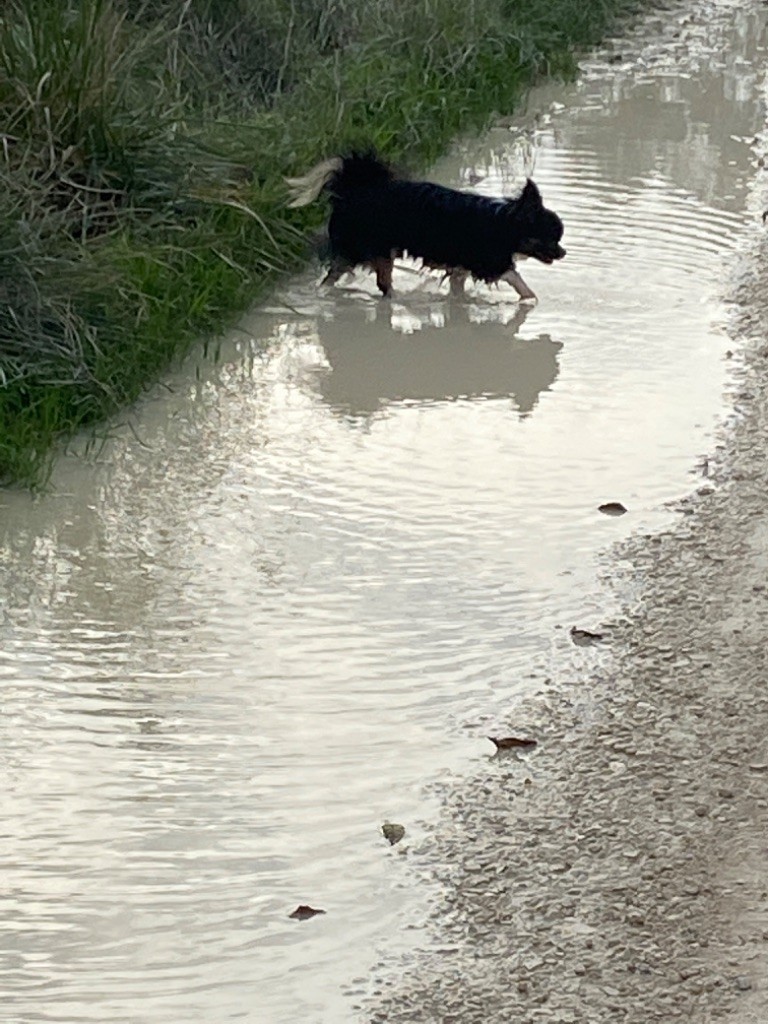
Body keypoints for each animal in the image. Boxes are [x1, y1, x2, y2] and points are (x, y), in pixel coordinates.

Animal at [285, 151, 565, 300]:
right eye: (551, 238)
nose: (563, 252)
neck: (504, 223)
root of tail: (353, 189)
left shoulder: (460, 267)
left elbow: (458, 288)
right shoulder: (487, 263)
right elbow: (514, 276)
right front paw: (530, 297)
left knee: (352, 278)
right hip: (370, 250)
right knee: (362, 280)